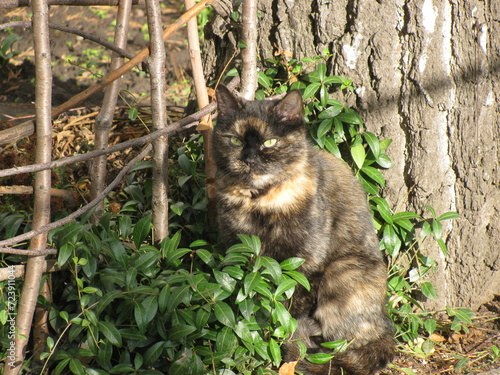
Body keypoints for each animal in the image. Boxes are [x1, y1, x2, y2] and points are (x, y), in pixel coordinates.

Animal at [211, 86, 394, 375]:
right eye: (236, 141)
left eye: (270, 142)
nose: (249, 160)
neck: (260, 200)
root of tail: (386, 326)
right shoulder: (236, 252)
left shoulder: (305, 265)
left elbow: (292, 309)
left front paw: (285, 338)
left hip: (343, 270)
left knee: (348, 342)